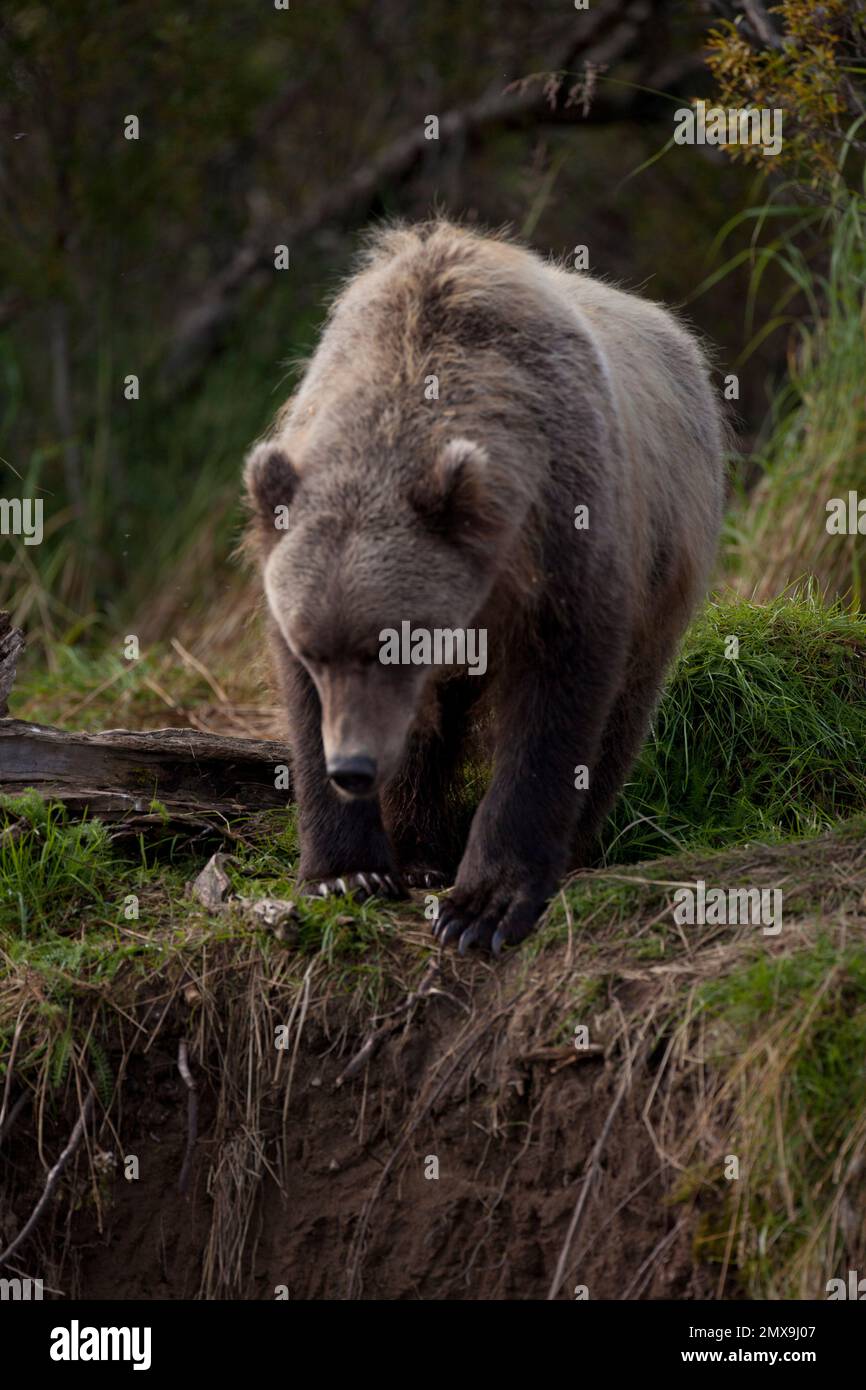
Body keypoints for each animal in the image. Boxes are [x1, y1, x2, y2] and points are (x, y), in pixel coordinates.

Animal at [244, 219, 725, 955]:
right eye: (315, 650)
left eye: (392, 645)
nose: (352, 766)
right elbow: (308, 706)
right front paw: (347, 872)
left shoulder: (568, 532)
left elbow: (555, 709)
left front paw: (483, 906)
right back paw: (417, 847)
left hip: (667, 555)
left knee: (624, 712)